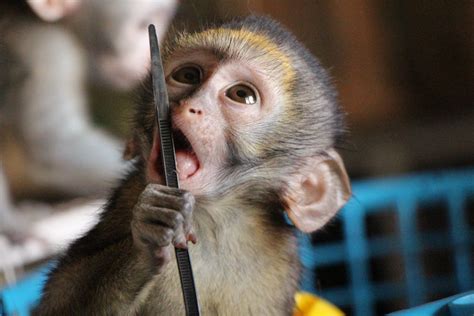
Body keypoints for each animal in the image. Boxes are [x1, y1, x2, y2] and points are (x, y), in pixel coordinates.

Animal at [35, 16, 350, 314]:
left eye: (242, 95)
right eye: (188, 75)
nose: (191, 105)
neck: (211, 219)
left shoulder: (282, 260)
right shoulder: (127, 199)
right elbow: (58, 297)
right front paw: (148, 236)